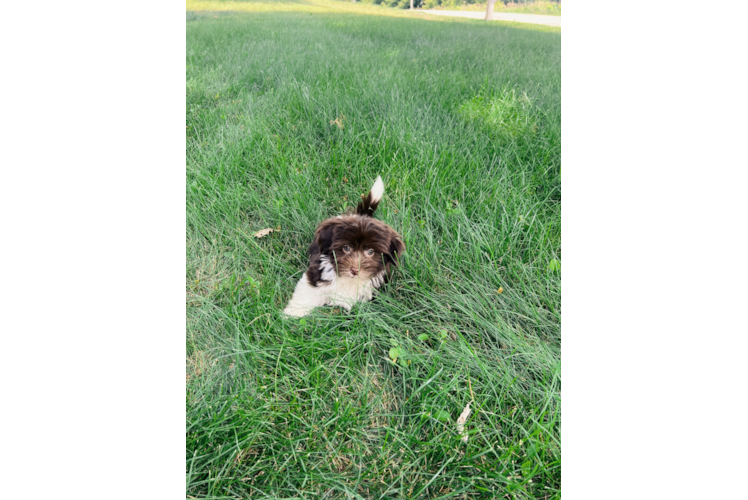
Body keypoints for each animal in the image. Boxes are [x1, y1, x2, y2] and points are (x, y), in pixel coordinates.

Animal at [284, 176, 406, 316]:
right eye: (346, 248)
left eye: (370, 252)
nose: (354, 270)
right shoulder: (317, 273)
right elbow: (307, 292)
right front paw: (292, 313)